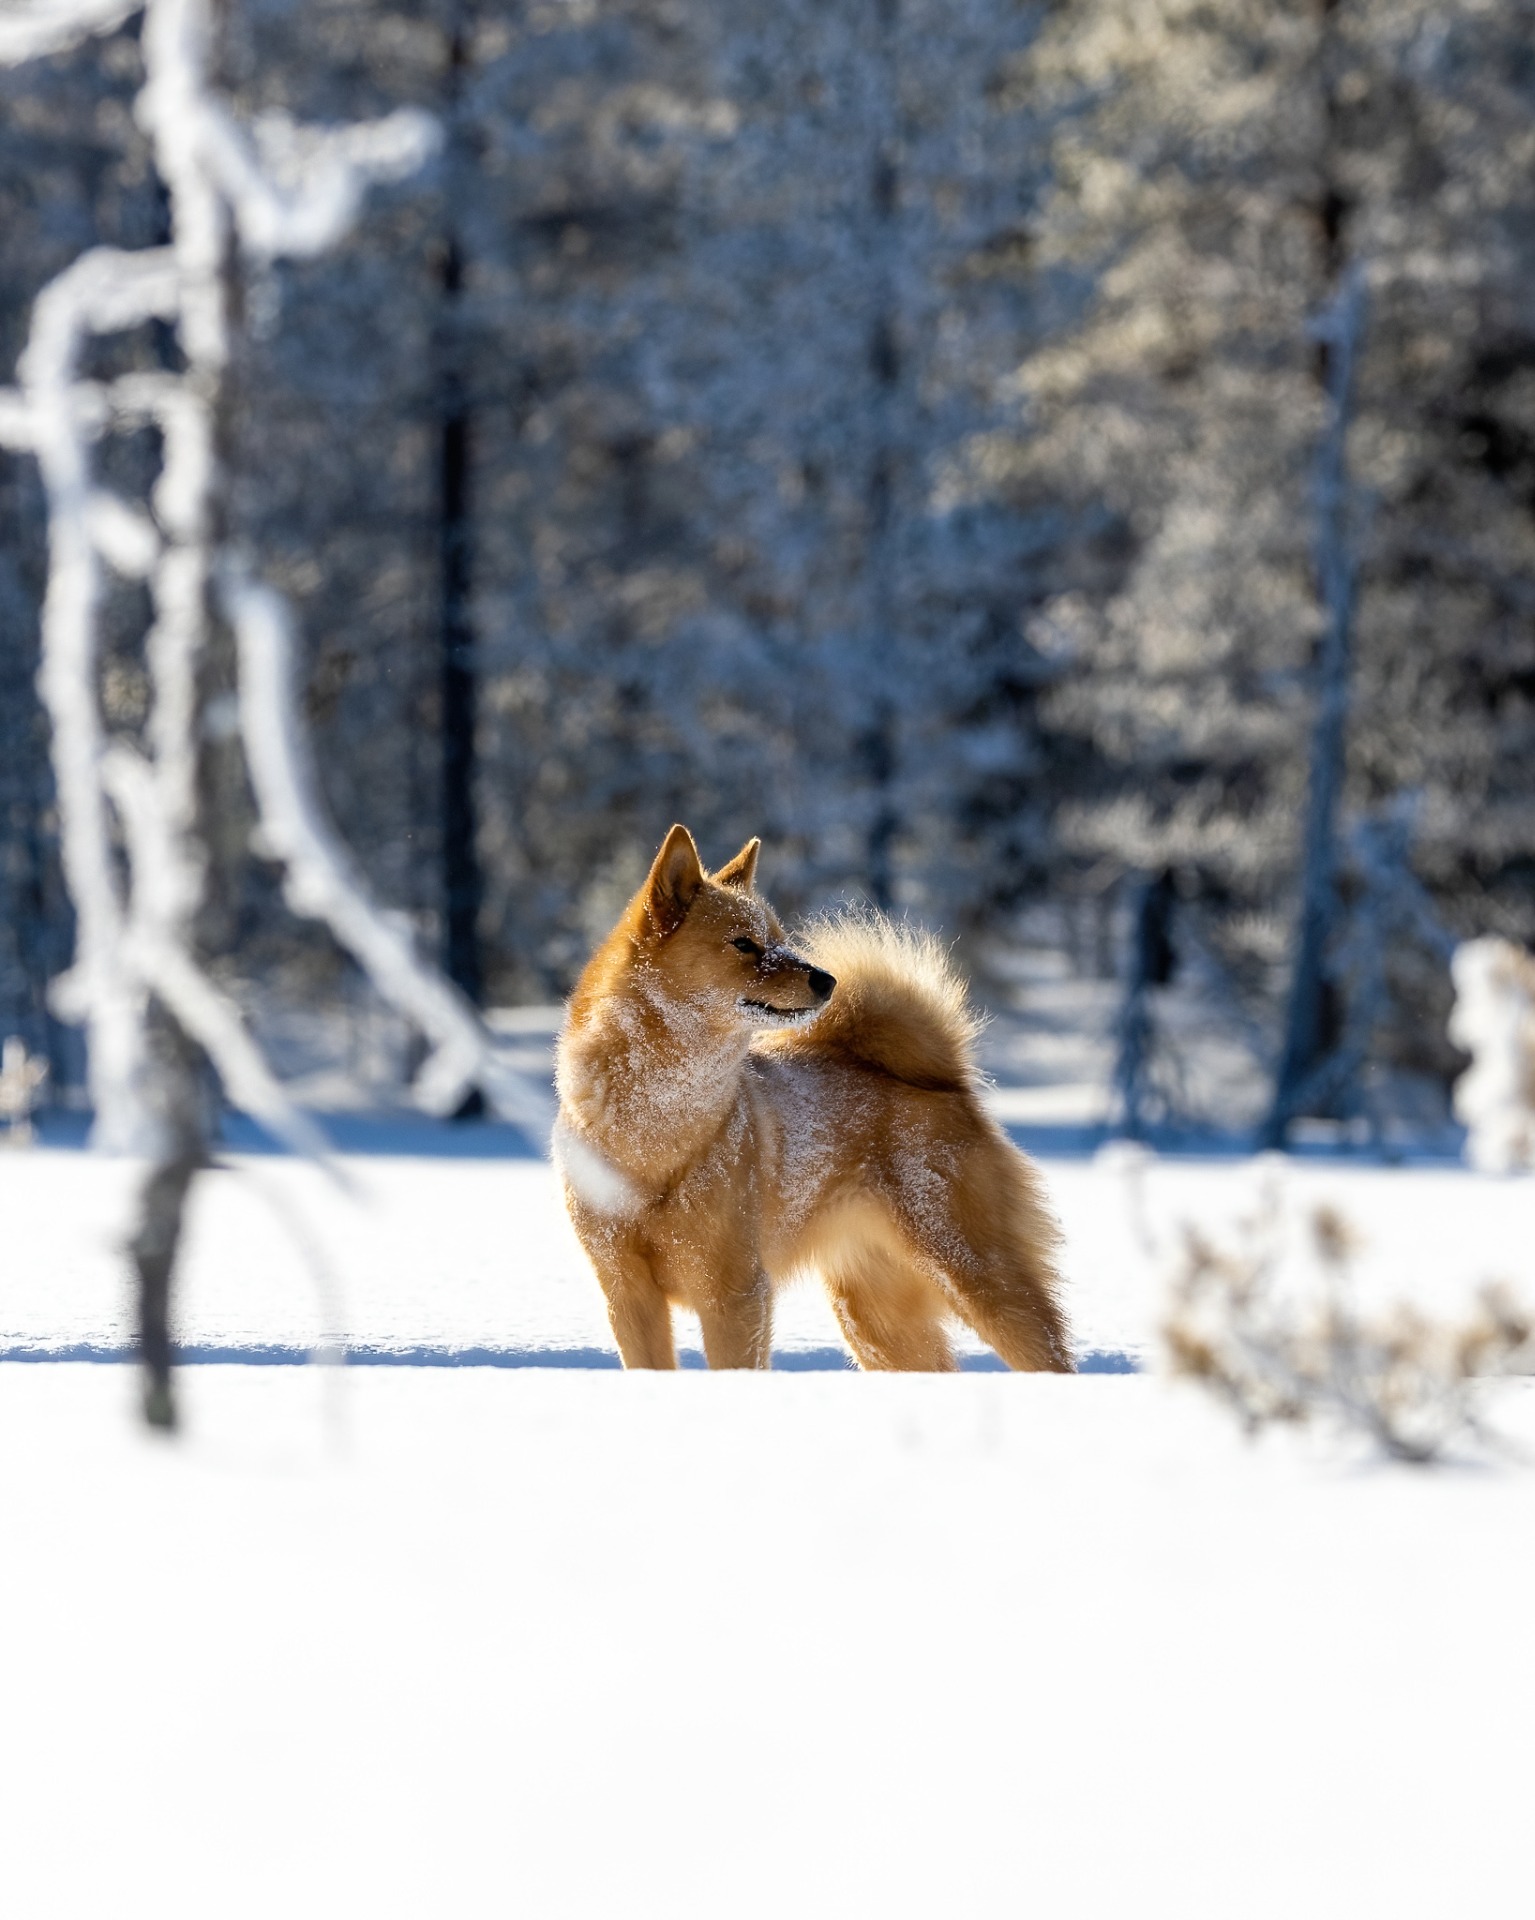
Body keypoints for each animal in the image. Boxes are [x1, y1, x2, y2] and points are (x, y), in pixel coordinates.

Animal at [554, 824, 1073, 1372]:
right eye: (744, 943)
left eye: (781, 939)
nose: (826, 979)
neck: (655, 1115)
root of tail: (944, 1082)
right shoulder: (628, 1294)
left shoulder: (736, 1294)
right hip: (876, 1320)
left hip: (976, 1277)